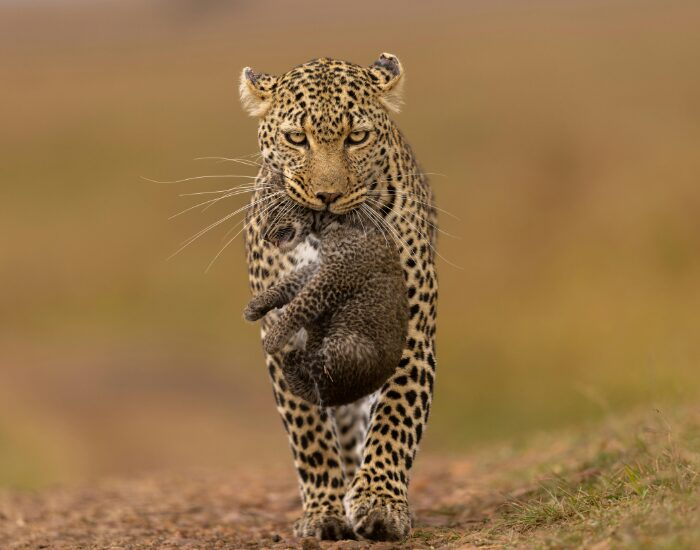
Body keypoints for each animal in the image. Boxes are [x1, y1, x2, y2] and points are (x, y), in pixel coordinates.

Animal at [243, 205, 409, 408]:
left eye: (275, 211)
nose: (264, 236)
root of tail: (336, 398)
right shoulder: (321, 267)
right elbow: (291, 282)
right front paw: (257, 305)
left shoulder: (335, 274)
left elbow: (301, 303)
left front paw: (274, 337)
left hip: (347, 347)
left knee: (306, 361)